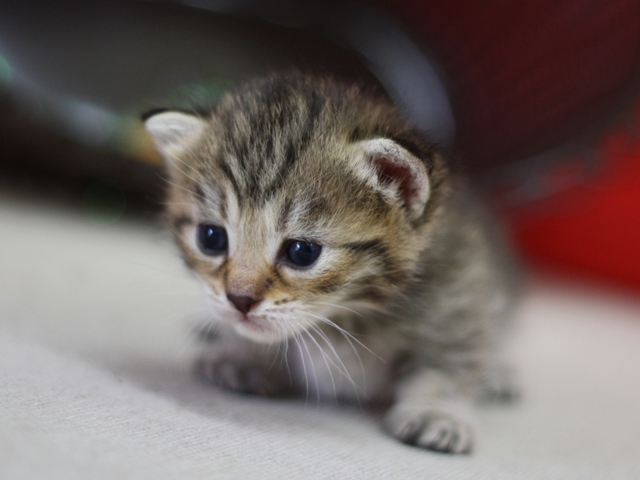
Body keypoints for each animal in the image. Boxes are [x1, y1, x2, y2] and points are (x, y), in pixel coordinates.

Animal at [144, 73, 520, 452]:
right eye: (211, 238)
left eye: (302, 252)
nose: (240, 300)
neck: (343, 316)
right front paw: (244, 356)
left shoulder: (458, 291)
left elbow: (448, 362)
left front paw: (437, 411)